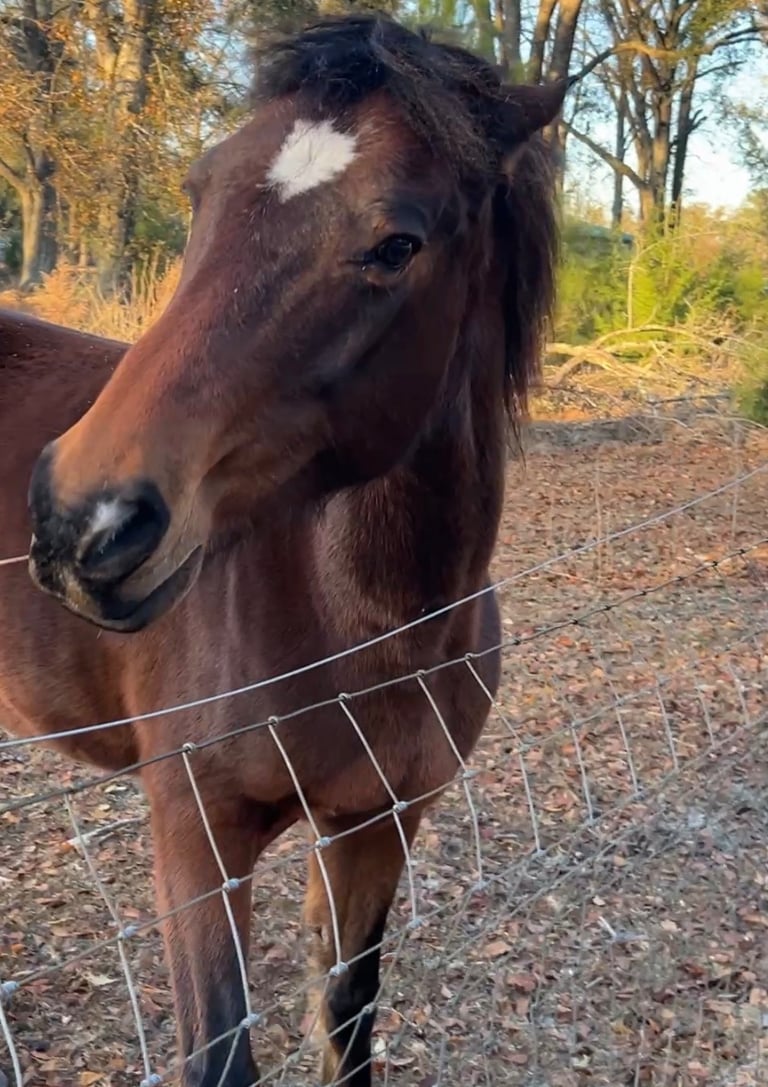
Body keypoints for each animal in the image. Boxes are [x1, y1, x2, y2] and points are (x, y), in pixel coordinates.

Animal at [1, 13, 563, 1086]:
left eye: (396, 243)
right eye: (200, 189)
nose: (79, 518)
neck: (362, 627)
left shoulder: (378, 824)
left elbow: (348, 1015)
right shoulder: (195, 834)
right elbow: (221, 1053)